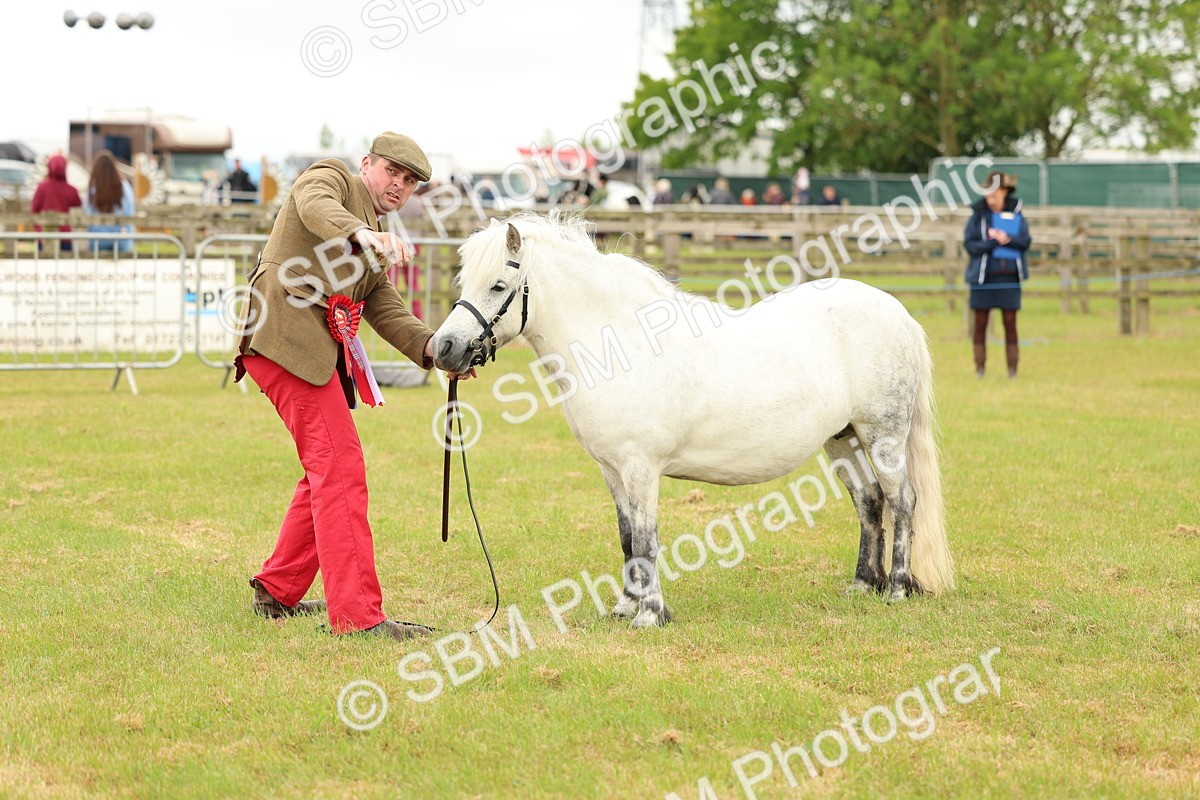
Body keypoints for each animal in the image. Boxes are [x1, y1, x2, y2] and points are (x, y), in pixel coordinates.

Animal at [432, 212, 953, 628]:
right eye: (463, 282)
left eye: (498, 285)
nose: (445, 349)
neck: (620, 343)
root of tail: (898, 312)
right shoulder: (612, 470)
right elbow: (627, 538)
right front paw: (624, 607)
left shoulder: (641, 469)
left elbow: (647, 540)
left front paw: (649, 615)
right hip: (843, 440)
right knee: (869, 503)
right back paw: (864, 585)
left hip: (884, 436)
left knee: (902, 501)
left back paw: (898, 588)